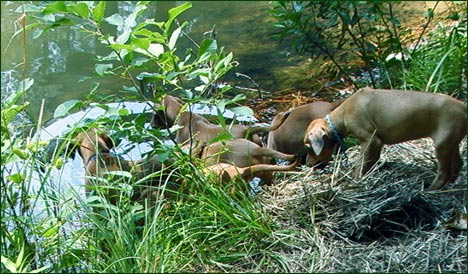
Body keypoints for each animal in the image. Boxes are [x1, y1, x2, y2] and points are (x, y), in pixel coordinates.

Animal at [302, 88, 466, 191]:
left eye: (308, 147)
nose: (308, 164)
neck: (341, 115)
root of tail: (463, 107)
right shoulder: (376, 143)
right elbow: (371, 160)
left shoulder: (370, 140)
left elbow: (360, 164)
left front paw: (354, 181)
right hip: (450, 142)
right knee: (457, 164)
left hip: (442, 144)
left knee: (443, 172)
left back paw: (430, 190)